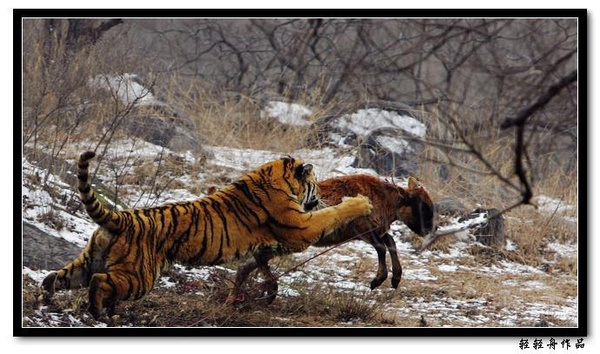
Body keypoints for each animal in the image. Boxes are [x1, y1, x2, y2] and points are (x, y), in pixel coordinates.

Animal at [39, 151, 372, 320]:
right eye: (315, 182)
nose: (320, 196)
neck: (276, 175)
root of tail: (120, 216)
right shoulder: (302, 227)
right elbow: (331, 215)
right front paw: (361, 202)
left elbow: (260, 266)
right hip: (138, 276)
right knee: (100, 282)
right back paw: (99, 313)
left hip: (89, 260)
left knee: (55, 277)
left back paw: (49, 300)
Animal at [231, 174, 436, 304]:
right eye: (422, 206)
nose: (431, 229)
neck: (386, 199)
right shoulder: (364, 231)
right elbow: (382, 247)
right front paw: (377, 280)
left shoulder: (373, 232)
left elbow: (390, 243)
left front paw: (395, 279)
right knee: (255, 260)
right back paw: (268, 293)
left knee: (247, 266)